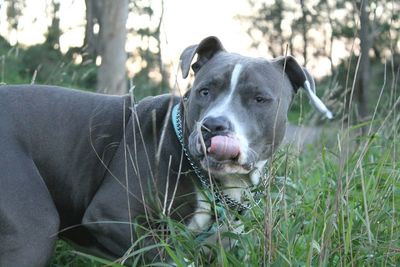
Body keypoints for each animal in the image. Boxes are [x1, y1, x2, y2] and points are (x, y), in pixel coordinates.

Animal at [0, 36, 332, 267]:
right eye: (204, 91)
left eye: (259, 99)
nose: (213, 125)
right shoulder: (112, 217)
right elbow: (171, 257)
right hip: (33, 227)